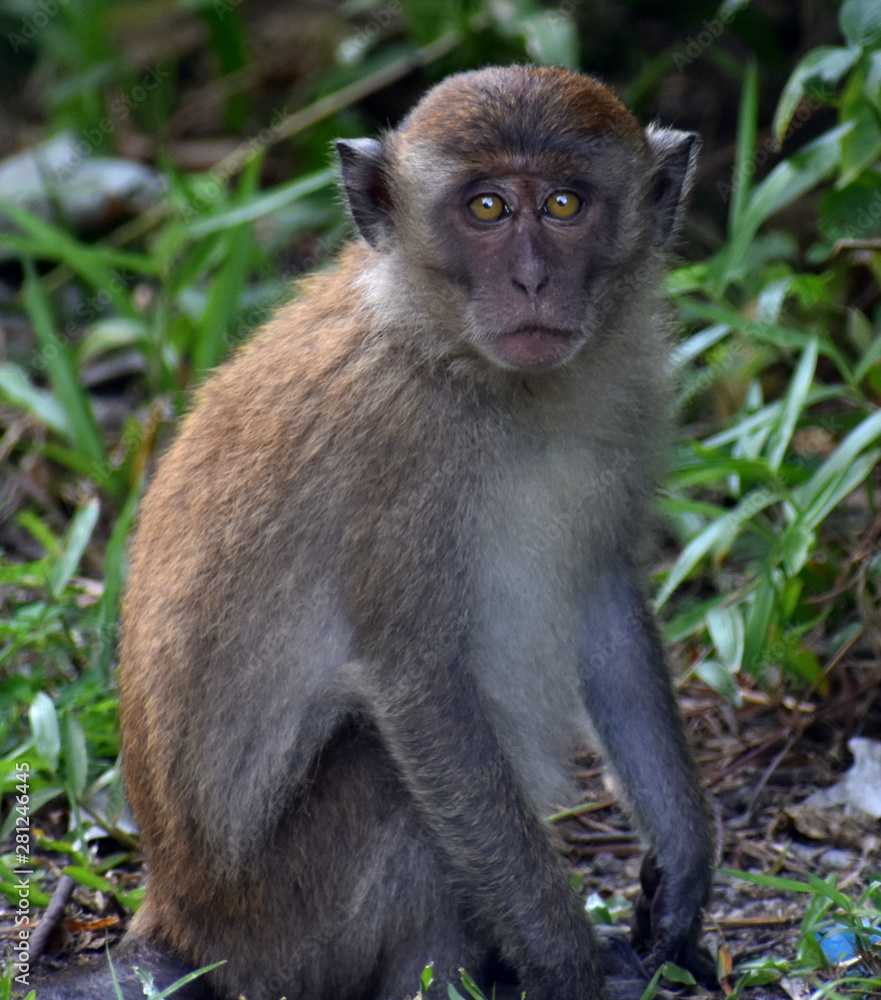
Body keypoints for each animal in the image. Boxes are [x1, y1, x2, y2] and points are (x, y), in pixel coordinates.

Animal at [39, 66, 716, 1000]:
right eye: (486, 208)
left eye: (565, 203)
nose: (533, 280)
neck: (463, 364)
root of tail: (177, 927)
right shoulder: (392, 454)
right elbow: (420, 690)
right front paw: (569, 966)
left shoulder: (629, 392)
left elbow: (607, 609)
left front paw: (684, 867)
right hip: (288, 927)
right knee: (388, 779)